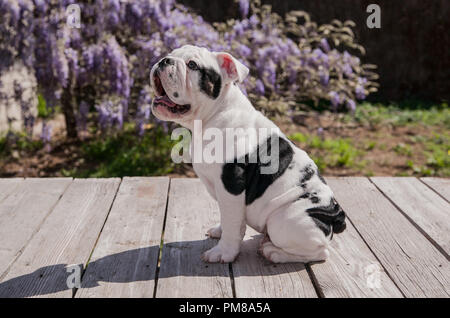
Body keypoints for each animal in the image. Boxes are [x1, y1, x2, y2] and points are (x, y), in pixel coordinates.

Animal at [149, 44, 346, 264]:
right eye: (170, 54)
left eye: (192, 65)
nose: (164, 60)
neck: (213, 114)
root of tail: (334, 215)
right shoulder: (224, 194)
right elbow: (228, 218)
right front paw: (220, 231)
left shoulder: (231, 184)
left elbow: (232, 223)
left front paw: (223, 252)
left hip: (285, 220)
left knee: (320, 252)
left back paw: (274, 252)